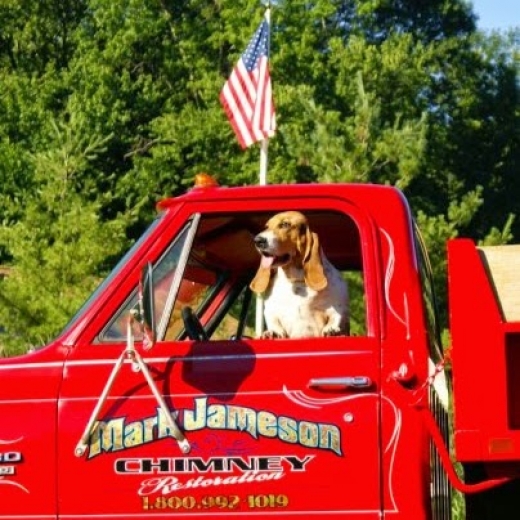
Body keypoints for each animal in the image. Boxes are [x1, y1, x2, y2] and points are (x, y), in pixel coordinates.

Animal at [251, 212, 350, 342]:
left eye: (285, 224)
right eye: (266, 227)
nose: (257, 240)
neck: (296, 281)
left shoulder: (338, 308)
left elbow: (336, 318)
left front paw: (332, 330)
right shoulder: (271, 311)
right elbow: (274, 324)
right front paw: (272, 333)